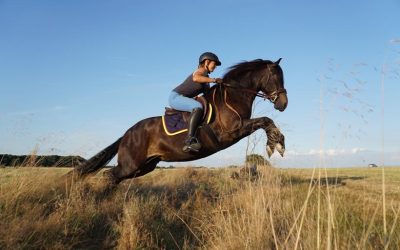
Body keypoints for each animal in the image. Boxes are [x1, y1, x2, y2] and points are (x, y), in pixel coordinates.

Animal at [71, 58, 288, 186]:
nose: (283, 103)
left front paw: (277, 143)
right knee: (109, 176)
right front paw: (275, 145)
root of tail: (126, 134)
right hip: (131, 165)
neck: (232, 96)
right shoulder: (232, 131)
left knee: (114, 177)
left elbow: (266, 122)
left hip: (144, 166)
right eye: (275, 76)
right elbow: (265, 120)